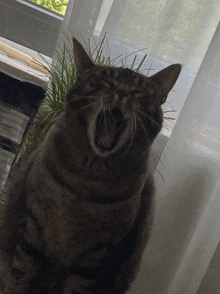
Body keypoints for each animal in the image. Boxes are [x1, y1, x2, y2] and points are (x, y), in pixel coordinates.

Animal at [0, 38, 181, 292]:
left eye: (138, 93)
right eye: (104, 82)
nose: (121, 94)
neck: (87, 177)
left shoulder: (97, 251)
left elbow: (79, 286)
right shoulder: (34, 226)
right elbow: (22, 275)